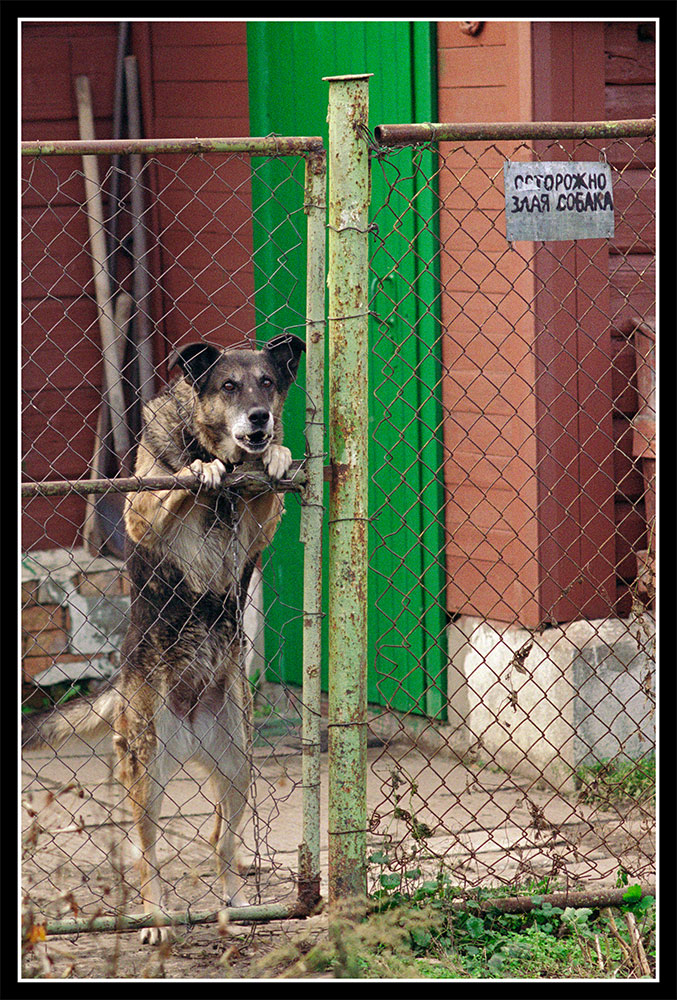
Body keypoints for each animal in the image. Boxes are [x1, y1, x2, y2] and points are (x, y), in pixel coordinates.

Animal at [22, 332, 304, 940]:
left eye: (267, 383)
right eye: (229, 386)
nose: (261, 418)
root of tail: (190, 727)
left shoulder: (259, 527)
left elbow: (269, 486)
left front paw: (275, 454)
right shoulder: (141, 511)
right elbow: (178, 484)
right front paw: (200, 469)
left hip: (238, 766)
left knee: (221, 839)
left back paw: (231, 904)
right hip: (147, 774)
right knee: (145, 851)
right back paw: (154, 919)